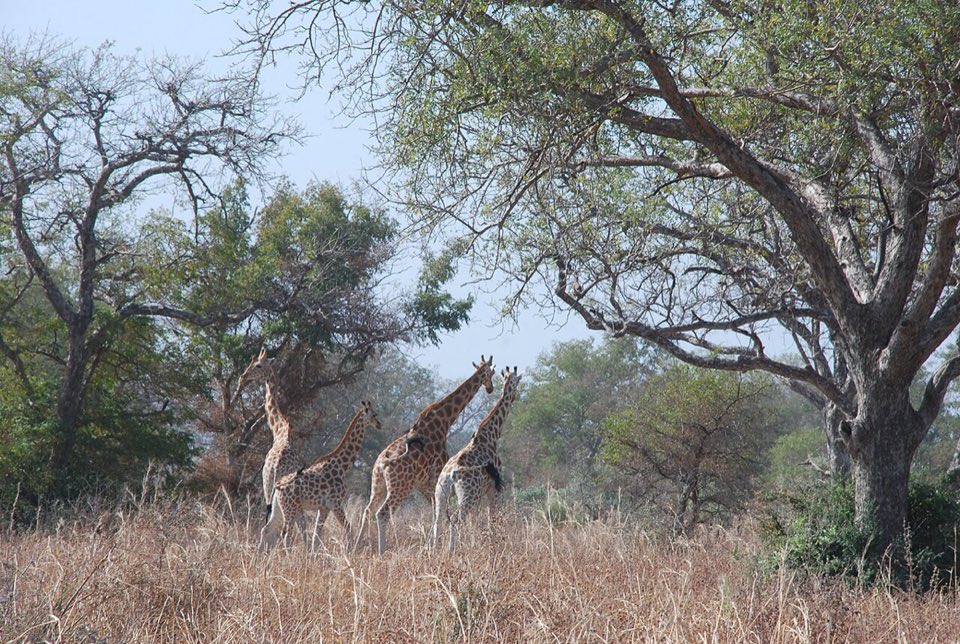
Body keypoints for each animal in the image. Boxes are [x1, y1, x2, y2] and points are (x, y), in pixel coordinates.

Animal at [235, 347, 303, 509]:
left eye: (258, 365)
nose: (242, 378)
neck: (280, 430)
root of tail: (276, 467)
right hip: (271, 486)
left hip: (269, 486)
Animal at [261, 400, 381, 550]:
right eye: (374, 414)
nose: (379, 425)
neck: (342, 466)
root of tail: (277, 487)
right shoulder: (335, 503)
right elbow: (348, 527)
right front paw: (349, 551)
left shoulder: (323, 508)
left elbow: (316, 537)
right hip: (290, 509)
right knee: (285, 535)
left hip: (278, 508)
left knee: (266, 529)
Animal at [356, 355, 495, 554]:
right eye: (491, 373)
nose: (490, 388)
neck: (444, 420)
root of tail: (381, 464)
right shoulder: (435, 477)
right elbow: (439, 514)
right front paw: (436, 546)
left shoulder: (425, 484)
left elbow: (435, 513)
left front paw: (431, 546)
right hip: (400, 487)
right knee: (382, 513)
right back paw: (382, 550)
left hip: (378, 484)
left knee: (368, 510)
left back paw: (354, 547)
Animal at [432, 366, 521, 552]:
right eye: (516, 383)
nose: (515, 397)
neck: (491, 435)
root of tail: (450, 475)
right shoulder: (494, 488)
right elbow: (490, 518)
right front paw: (492, 545)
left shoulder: (480, 493)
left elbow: (474, 523)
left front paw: (475, 545)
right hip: (467, 495)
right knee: (455, 519)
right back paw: (451, 551)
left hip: (441, 493)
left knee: (438, 521)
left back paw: (434, 552)